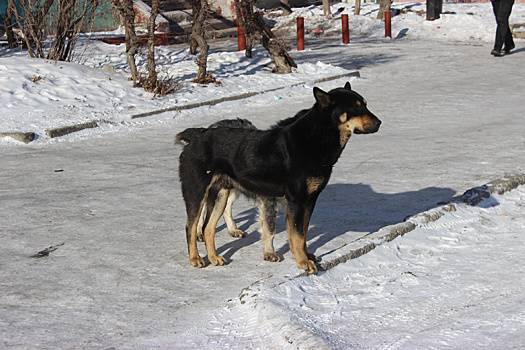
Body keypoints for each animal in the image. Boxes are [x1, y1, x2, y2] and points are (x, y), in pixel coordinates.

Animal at [176, 82, 380, 274]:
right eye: (355, 107)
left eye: (365, 104)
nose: (379, 122)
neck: (316, 138)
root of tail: (197, 136)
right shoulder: (296, 201)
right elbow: (296, 234)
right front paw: (303, 262)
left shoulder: (309, 201)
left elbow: (303, 233)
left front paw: (305, 256)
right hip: (196, 192)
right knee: (191, 227)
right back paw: (195, 258)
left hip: (221, 194)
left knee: (208, 228)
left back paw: (214, 257)